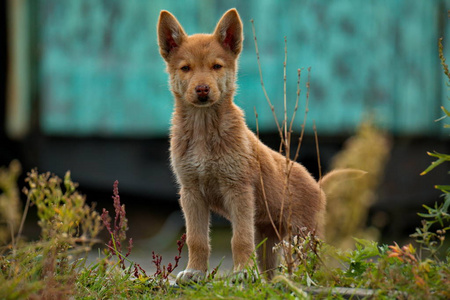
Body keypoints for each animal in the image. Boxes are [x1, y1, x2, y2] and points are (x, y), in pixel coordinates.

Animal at [159, 7, 348, 284]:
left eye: (216, 66)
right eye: (186, 68)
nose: (202, 89)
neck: (204, 132)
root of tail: (318, 187)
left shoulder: (239, 191)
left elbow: (240, 239)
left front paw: (241, 273)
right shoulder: (191, 193)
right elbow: (197, 239)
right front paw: (195, 272)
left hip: (305, 236)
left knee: (320, 262)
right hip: (269, 239)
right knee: (271, 271)